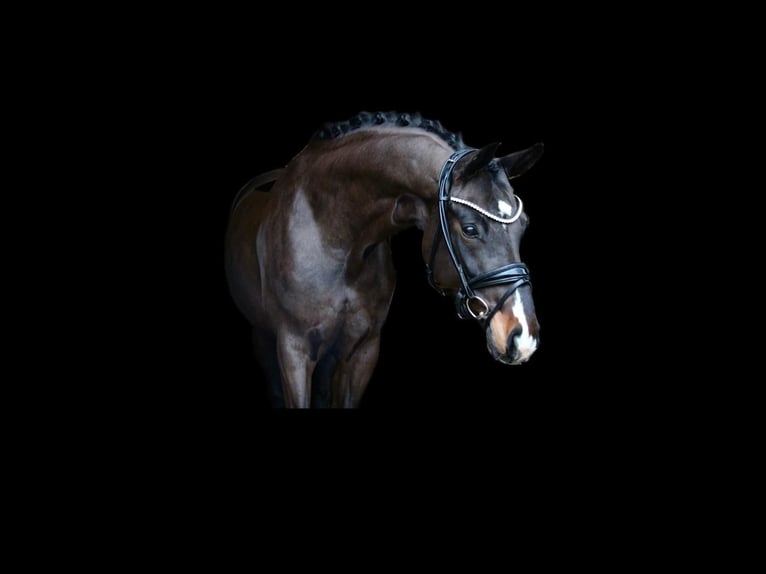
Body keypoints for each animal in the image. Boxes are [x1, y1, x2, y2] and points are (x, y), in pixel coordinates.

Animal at [224, 111, 544, 408]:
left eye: (524, 224)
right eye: (469, 229)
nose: (523, 337)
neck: (335, 238)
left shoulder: (363, 351)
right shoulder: (294, 350)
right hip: (263, 338)